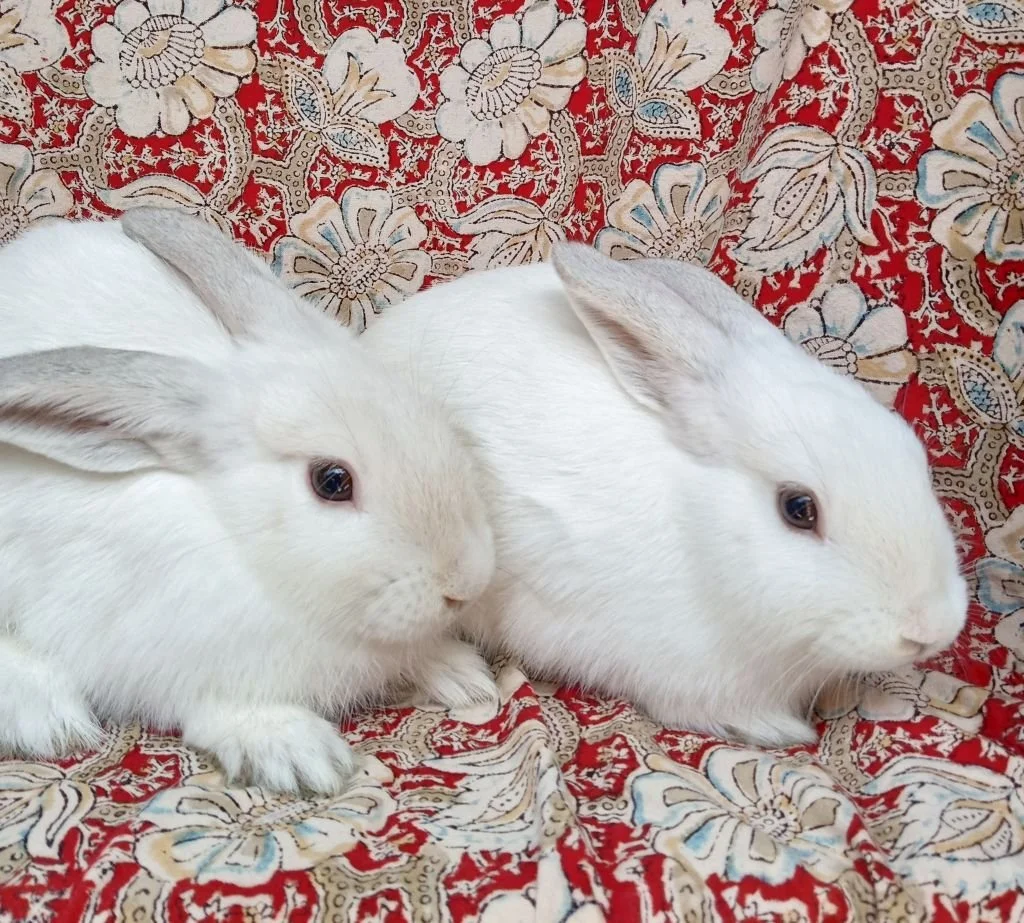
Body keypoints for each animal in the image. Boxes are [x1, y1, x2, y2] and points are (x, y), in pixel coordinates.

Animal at [0, 208, 498, 793]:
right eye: (332, 481)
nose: (466, 582)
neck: (240, 542)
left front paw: (463, 675)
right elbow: (218, 709)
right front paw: (299, 754)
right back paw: (48, 718)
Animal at [361, 244, 969, 747]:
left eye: (913, 455)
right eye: (799, 509)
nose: (929, 629)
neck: (696, 532)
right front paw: (772, 728)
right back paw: (464, 680)